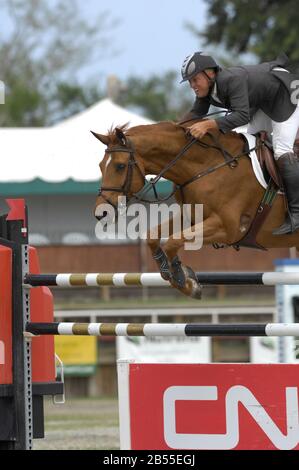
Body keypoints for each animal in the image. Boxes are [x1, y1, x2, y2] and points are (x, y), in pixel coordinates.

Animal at [91, 121, 299, 298]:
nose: (101, 213)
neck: (208, 165)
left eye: (120, 166)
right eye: (100, 166)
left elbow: (173, 241)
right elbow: (152, 235)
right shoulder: (190, 216)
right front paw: (174, 274)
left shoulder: (227, 228)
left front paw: (184, 281)